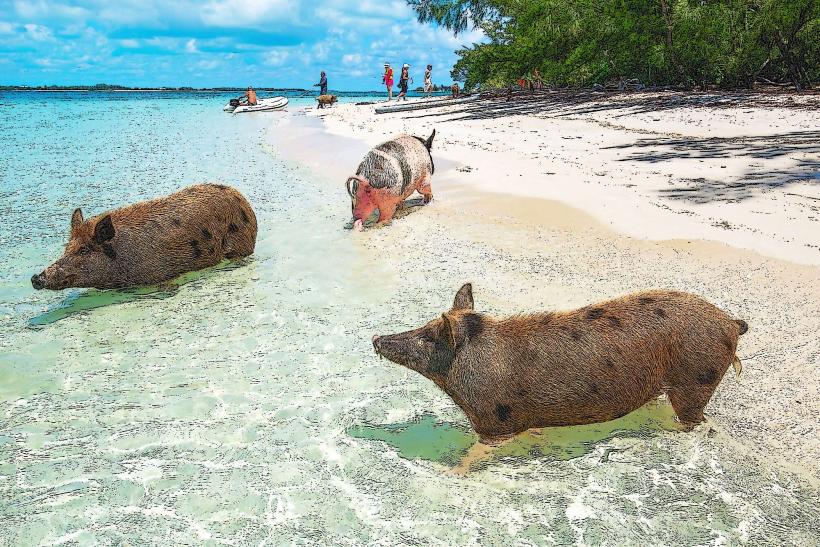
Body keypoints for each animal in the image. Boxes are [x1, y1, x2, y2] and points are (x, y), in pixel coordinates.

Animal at [374, 284, 748, 448]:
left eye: (428, 337)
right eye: (423, 328)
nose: (376, 338)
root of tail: (731, 323)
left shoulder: (495, 422)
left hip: (697, 378)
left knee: (695, 418)